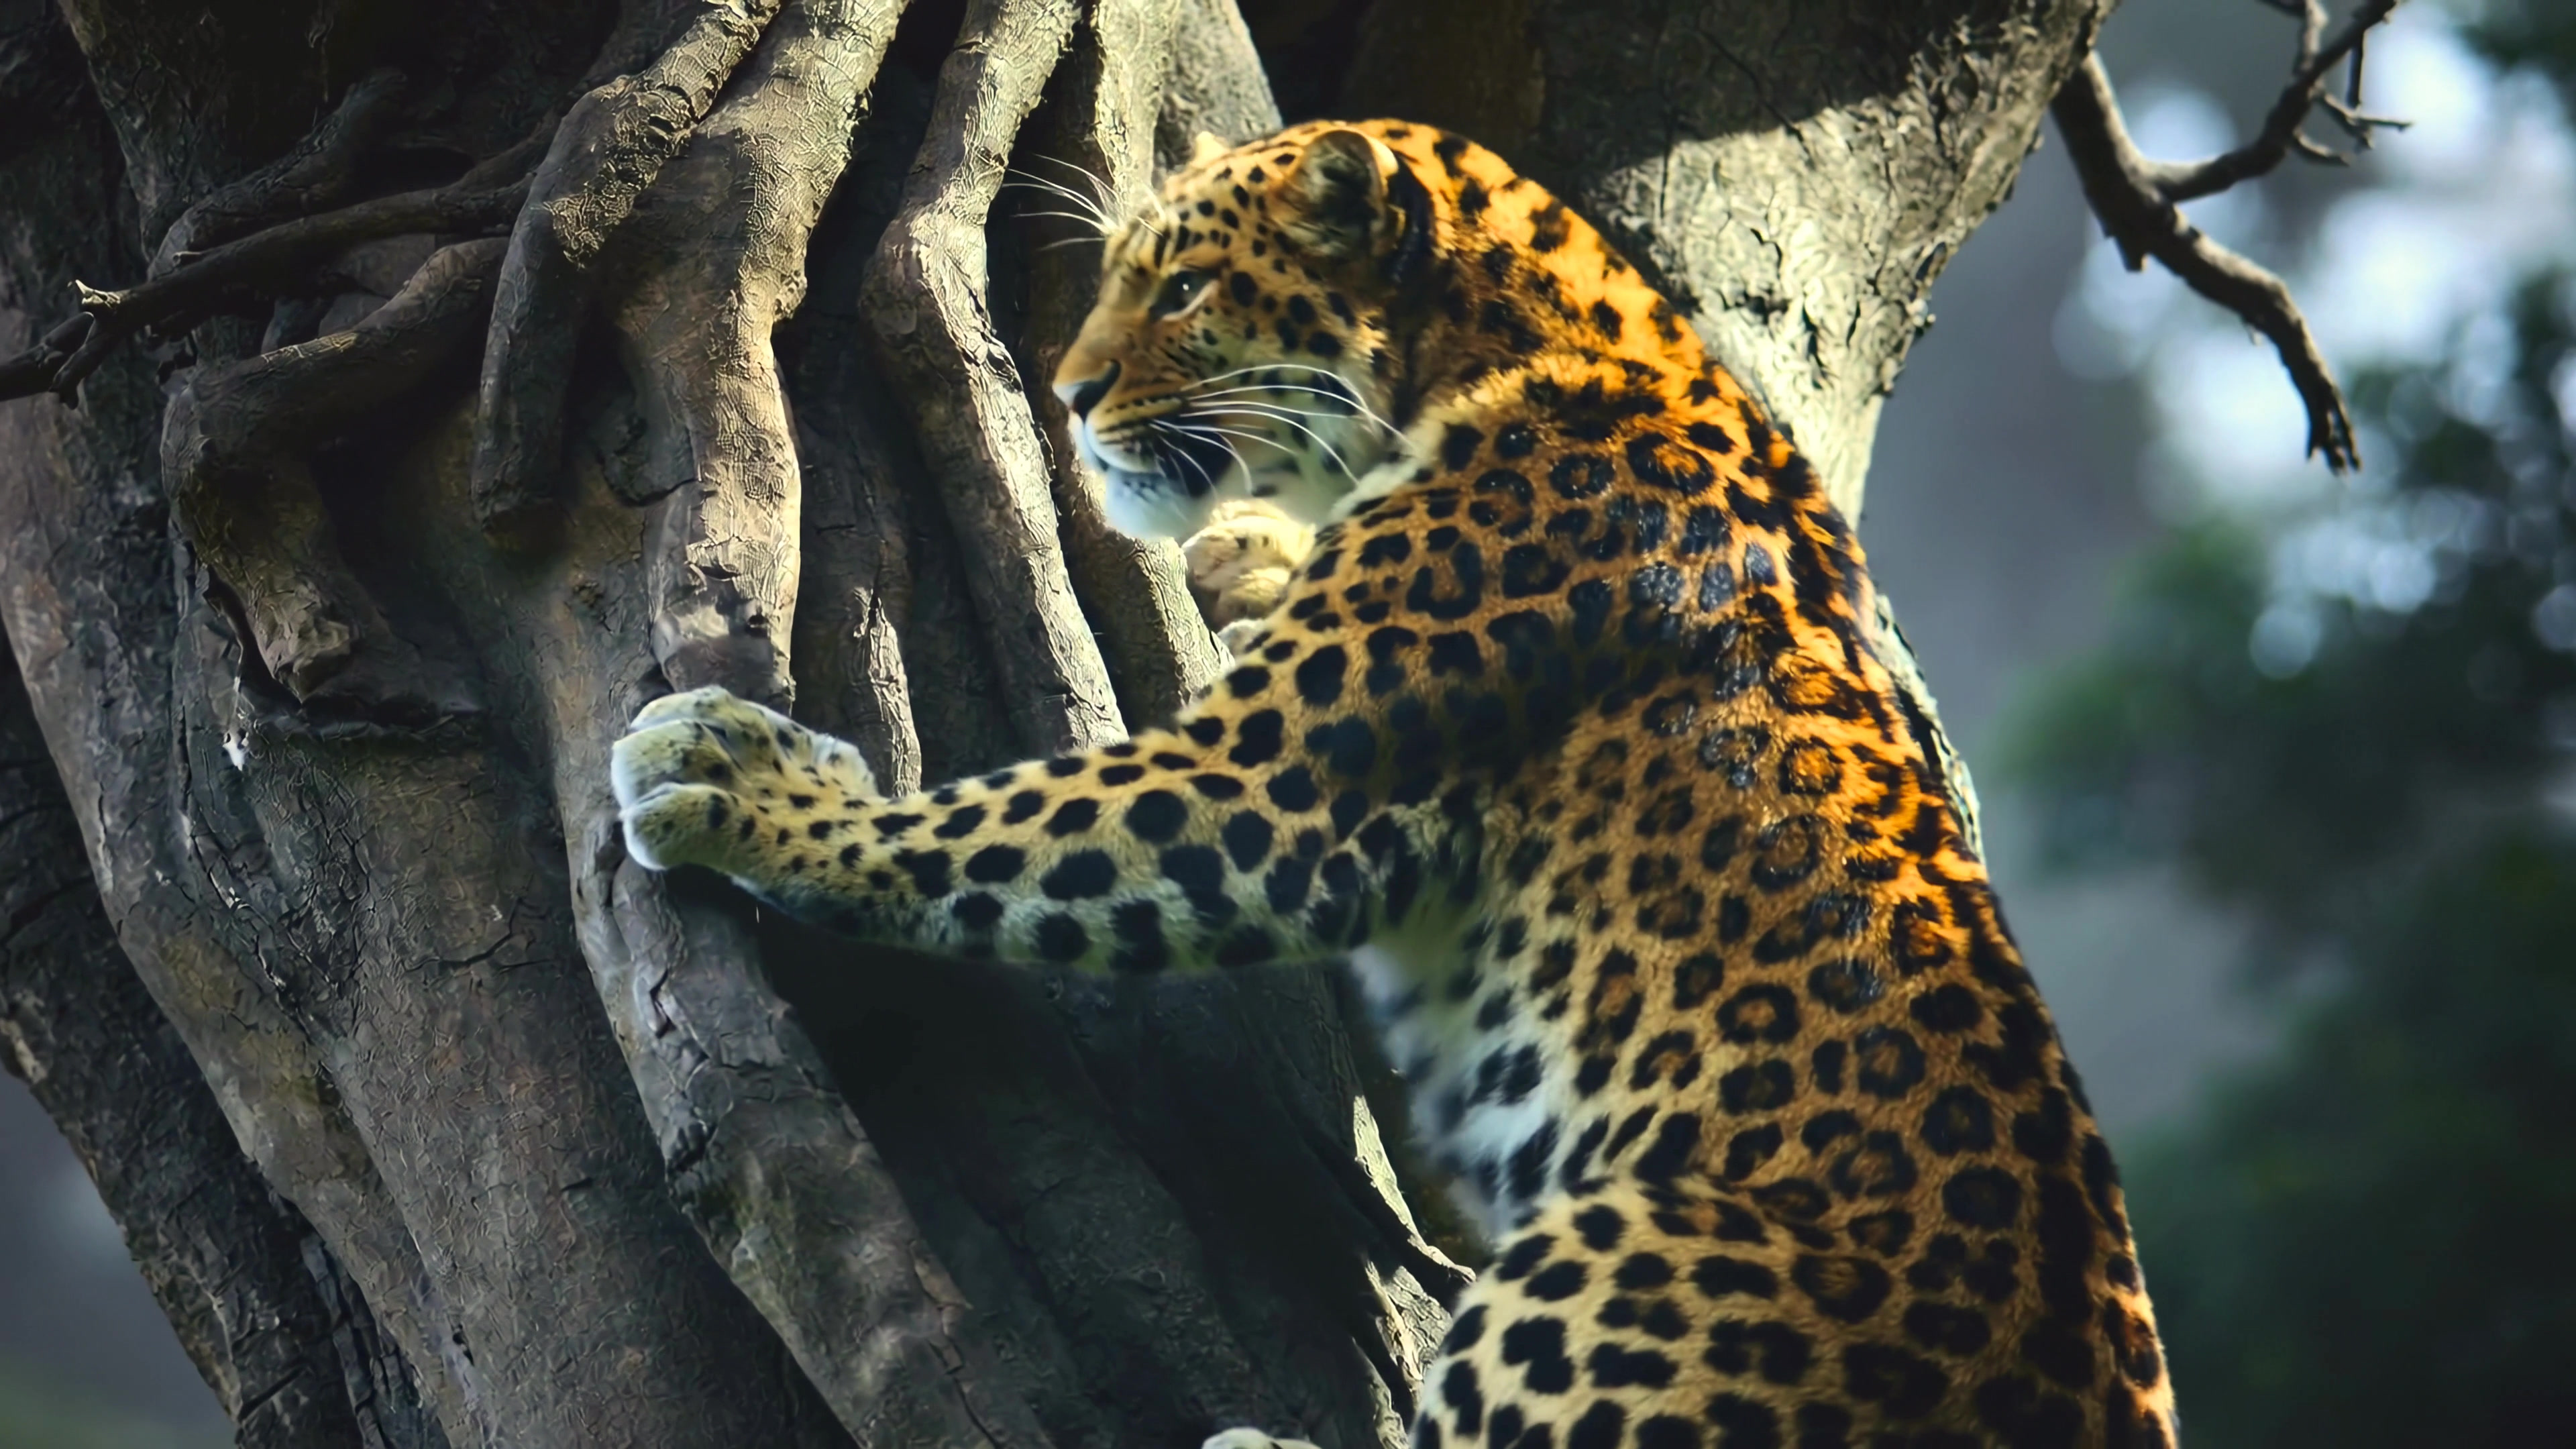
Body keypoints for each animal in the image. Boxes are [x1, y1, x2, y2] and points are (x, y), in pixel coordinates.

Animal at [612, 120, 2178, 1449]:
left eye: (1186, 288)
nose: (1066, 393)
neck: (1507, 351)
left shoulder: (1265, 783)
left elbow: (1000, 829)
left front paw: (742, 779)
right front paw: (1253, 557)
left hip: (1620, 1248)